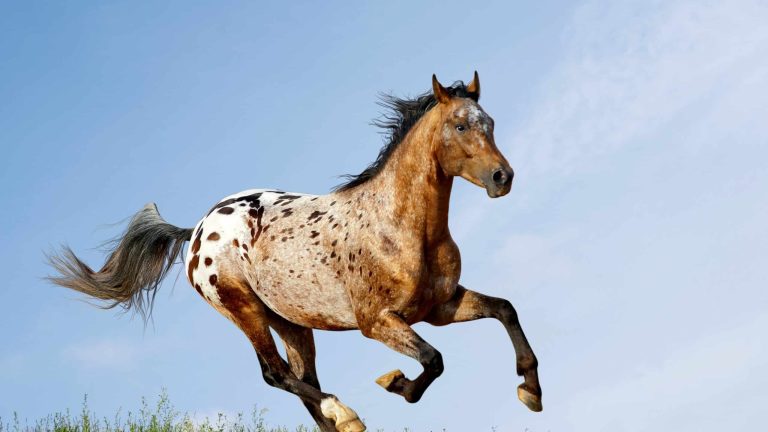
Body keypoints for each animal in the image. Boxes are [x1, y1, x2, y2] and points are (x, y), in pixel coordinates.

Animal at [48, 72, 542, 432]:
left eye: (490, 123)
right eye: (460, 125)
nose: (503, 177)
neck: (401, 228)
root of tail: (197, 231)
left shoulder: (440, 307)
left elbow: (505, 309)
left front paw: (530, 390)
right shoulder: (378, 323)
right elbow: (432, 361)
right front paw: (395, 383)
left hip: (292, 321)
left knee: (302, 381)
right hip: (243, 308)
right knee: (277, 375)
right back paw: (346, 414)